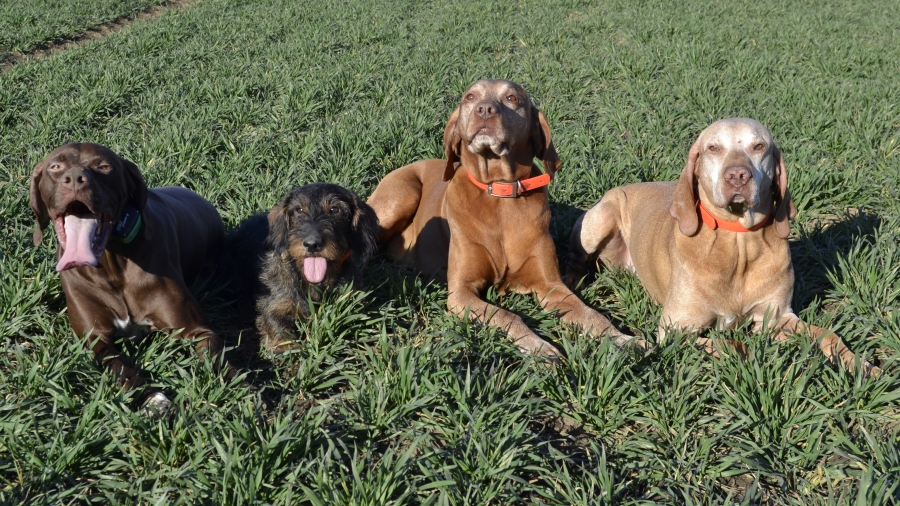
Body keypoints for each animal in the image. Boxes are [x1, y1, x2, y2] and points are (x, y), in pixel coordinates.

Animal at [29, 143, 233, 410]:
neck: (112, 265)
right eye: (55, 166)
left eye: (104, 166)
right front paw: (153, 398)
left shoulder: (198, 330)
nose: (74, 179)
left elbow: (220, 364)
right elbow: (122, 369)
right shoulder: (96, 340)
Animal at [220, 183, 379, 349]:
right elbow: (275, 322)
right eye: (299, 210)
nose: (312, 244)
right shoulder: (275, 303)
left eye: (335, 209)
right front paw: (285, 346)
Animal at [367, 79, 631, 358]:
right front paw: (539, 347)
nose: (484, 110)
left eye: (512, 98)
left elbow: (590, 314)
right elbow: (508, 316)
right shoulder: (461, 292)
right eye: (470, 96)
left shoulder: (551, 285)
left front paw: (623, 338)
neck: (499, 191)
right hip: (402, 196)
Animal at [565, 118, 878, 375]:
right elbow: (733, 345)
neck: (737, 243)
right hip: (600, 219)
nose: (737, 175)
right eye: (714, 147)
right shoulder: (675, 331)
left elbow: (828, 335)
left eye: (759, 146)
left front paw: (859, 364)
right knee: (576, 258)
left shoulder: (777, 316)